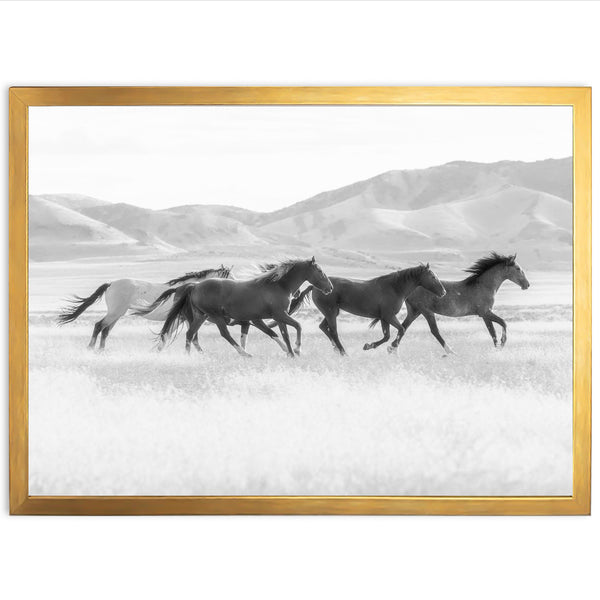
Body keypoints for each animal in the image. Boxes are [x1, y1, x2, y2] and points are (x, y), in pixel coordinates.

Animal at [57, 264, 232, 350]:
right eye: (229, 277)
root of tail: (111, 283)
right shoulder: (182, 319)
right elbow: (177, 336)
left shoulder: (183, 319)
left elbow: (175, 335)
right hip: (114, 313)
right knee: (99, 326)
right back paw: (91, 348)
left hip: (117, 314)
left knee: (105, 330)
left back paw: (100, 351)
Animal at [288, 264, 448, 356]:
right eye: (433, 276)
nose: (443, 292)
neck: (395, 288)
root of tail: (315, 287)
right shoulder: (389, 316)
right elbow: (401, 330)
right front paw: (384, 348)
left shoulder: (384, 318)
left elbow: (387, 336)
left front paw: (369, 346)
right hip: (330, 312)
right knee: (333, 331)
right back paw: (343, 352)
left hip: (332, 312)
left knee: (323, 327)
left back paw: (336, 349)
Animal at [398, 251, 528, 354]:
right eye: (518, 269)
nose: (527, 285)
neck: (484, 286)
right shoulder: (485, 312)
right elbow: (504, 323)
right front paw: (502, 344)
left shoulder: (485, 315)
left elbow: (493, 332)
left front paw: (497, 348)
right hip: (426, 311)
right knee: (434, 331)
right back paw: (451, 352)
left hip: (415, 311)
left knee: (403, 328)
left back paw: (394, 350)